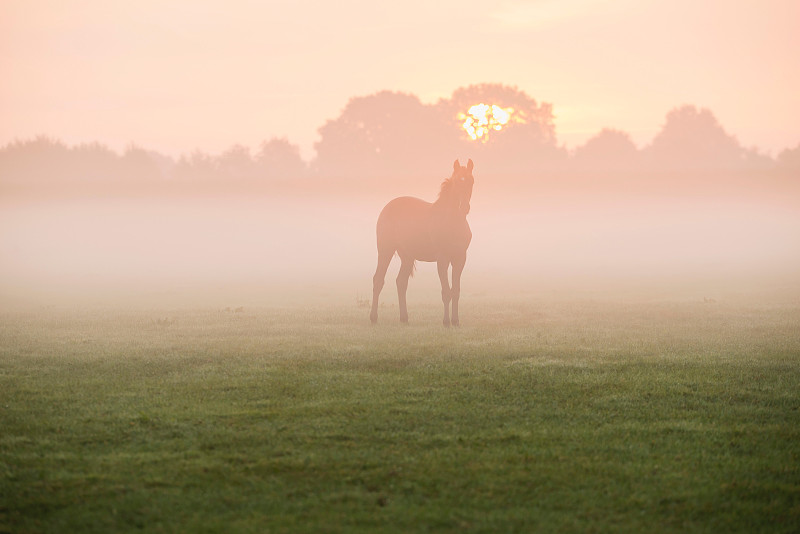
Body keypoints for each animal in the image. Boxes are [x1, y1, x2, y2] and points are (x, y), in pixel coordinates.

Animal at [370, 158, 476, 326]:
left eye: (471, 181)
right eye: (457, 181)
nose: (464, 207)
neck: (452, 221)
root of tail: (387, 207)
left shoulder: (460, 258)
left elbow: (456, 291)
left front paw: (455, 321)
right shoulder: (442, 258)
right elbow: (446, 292)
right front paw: (446, 322)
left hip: (407, 256)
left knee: (401, 282)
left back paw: (404, 318)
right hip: (385, 250)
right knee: (378, 280)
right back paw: (374, 318)